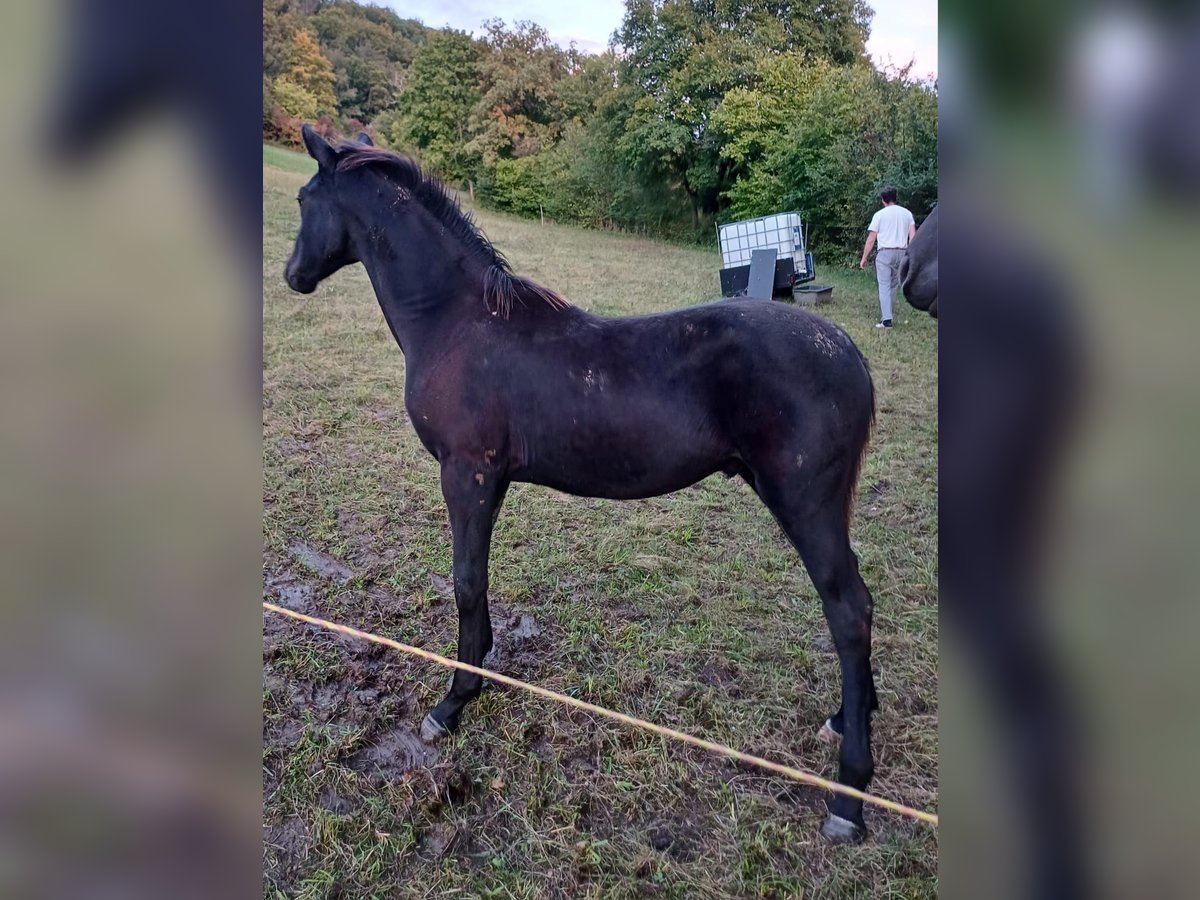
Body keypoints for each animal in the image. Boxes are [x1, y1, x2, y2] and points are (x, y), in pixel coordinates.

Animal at [282, 123, 883, 844]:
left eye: (301, 199)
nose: (292, 276)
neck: (458, 321)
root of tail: (847, 353)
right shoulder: (492, 479)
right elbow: (479, 577)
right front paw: (482, 662)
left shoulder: (465, 472)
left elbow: (465, 579)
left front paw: (452, 702)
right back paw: (849, 719)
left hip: (804, 504)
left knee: (848, 610)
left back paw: (849, 796)